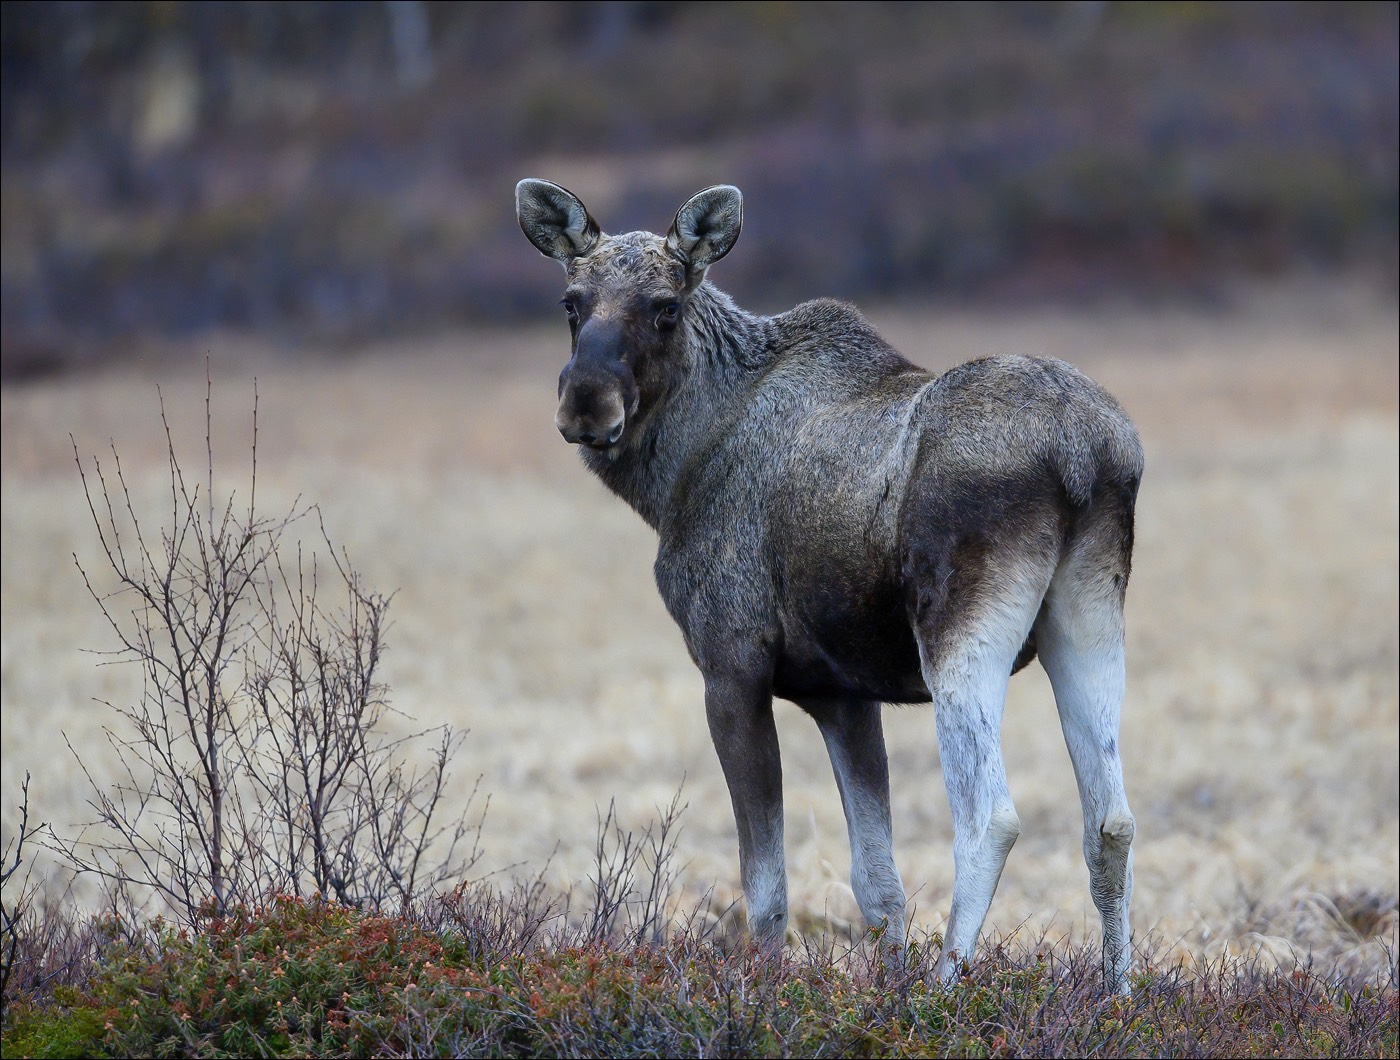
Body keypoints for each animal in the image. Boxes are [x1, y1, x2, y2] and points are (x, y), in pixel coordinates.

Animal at [520, 177, 1142, 985]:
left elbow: (765, 889)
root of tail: (1083, 451)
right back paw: (1116, 993)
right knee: (1110, 819)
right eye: (571, 302)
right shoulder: (843, 695)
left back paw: (946, 989)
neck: (672, 476)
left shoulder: (732, 667)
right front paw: (887, 984)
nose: (586, 403)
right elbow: (878, 883)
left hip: (962, 631)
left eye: (666, 306)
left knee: (990, 818)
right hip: (1090, 613)